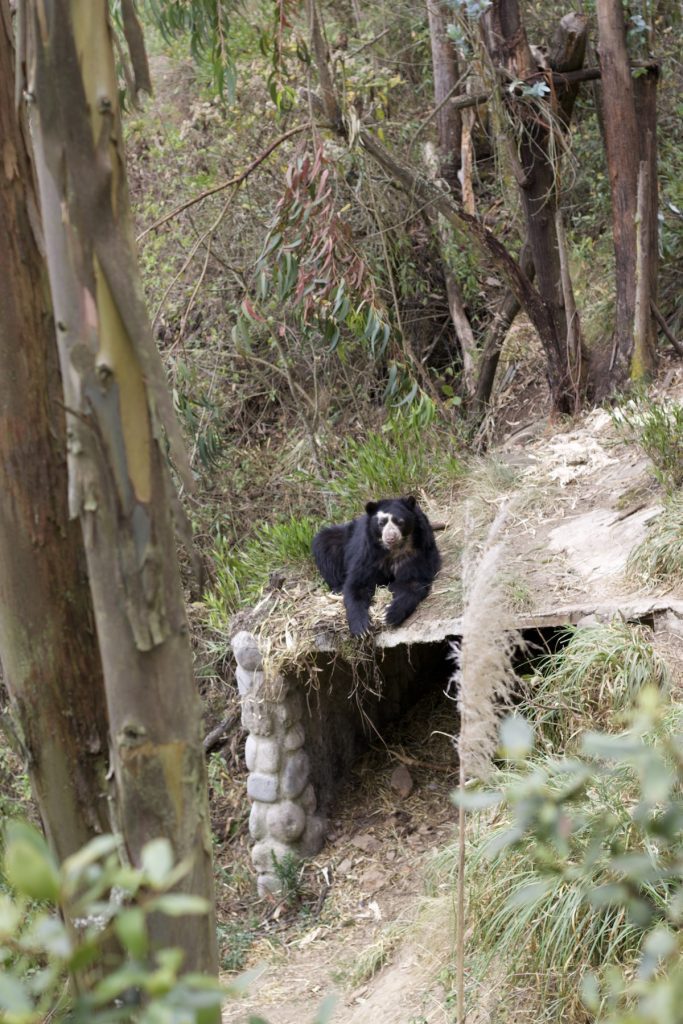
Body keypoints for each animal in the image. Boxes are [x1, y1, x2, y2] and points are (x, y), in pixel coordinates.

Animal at [313, 493, 440, 630]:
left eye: (400, 522)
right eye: (381, 523)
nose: (390, 537)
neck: (393, 550)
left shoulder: (417, 552)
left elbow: (412, 582)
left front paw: (389, 615)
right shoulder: (368, 555)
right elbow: (358, 584)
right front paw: (361, 627)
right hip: (339, 540)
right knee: (324, 545)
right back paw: (338, 588)